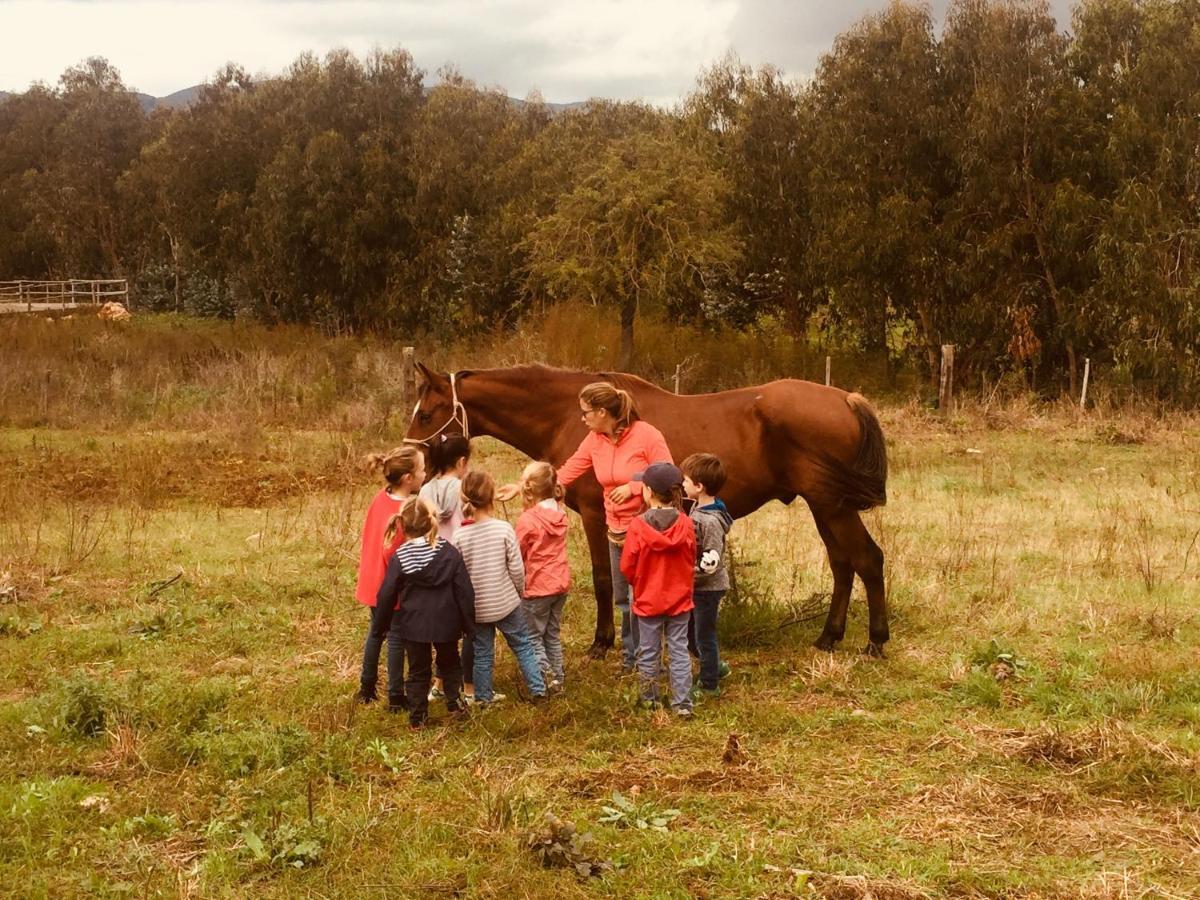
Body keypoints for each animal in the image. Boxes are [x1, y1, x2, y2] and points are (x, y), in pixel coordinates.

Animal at [408, 364, 888, 657]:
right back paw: (829, 636)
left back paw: (875, 641)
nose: (413, 464)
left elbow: (604, 580)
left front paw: (603, 642)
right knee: (843, 564)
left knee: (868, 560)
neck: (567, 416)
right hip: (824, 507)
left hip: (832, 507)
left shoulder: (595, 514)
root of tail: (846, 399)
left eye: (427, 413)